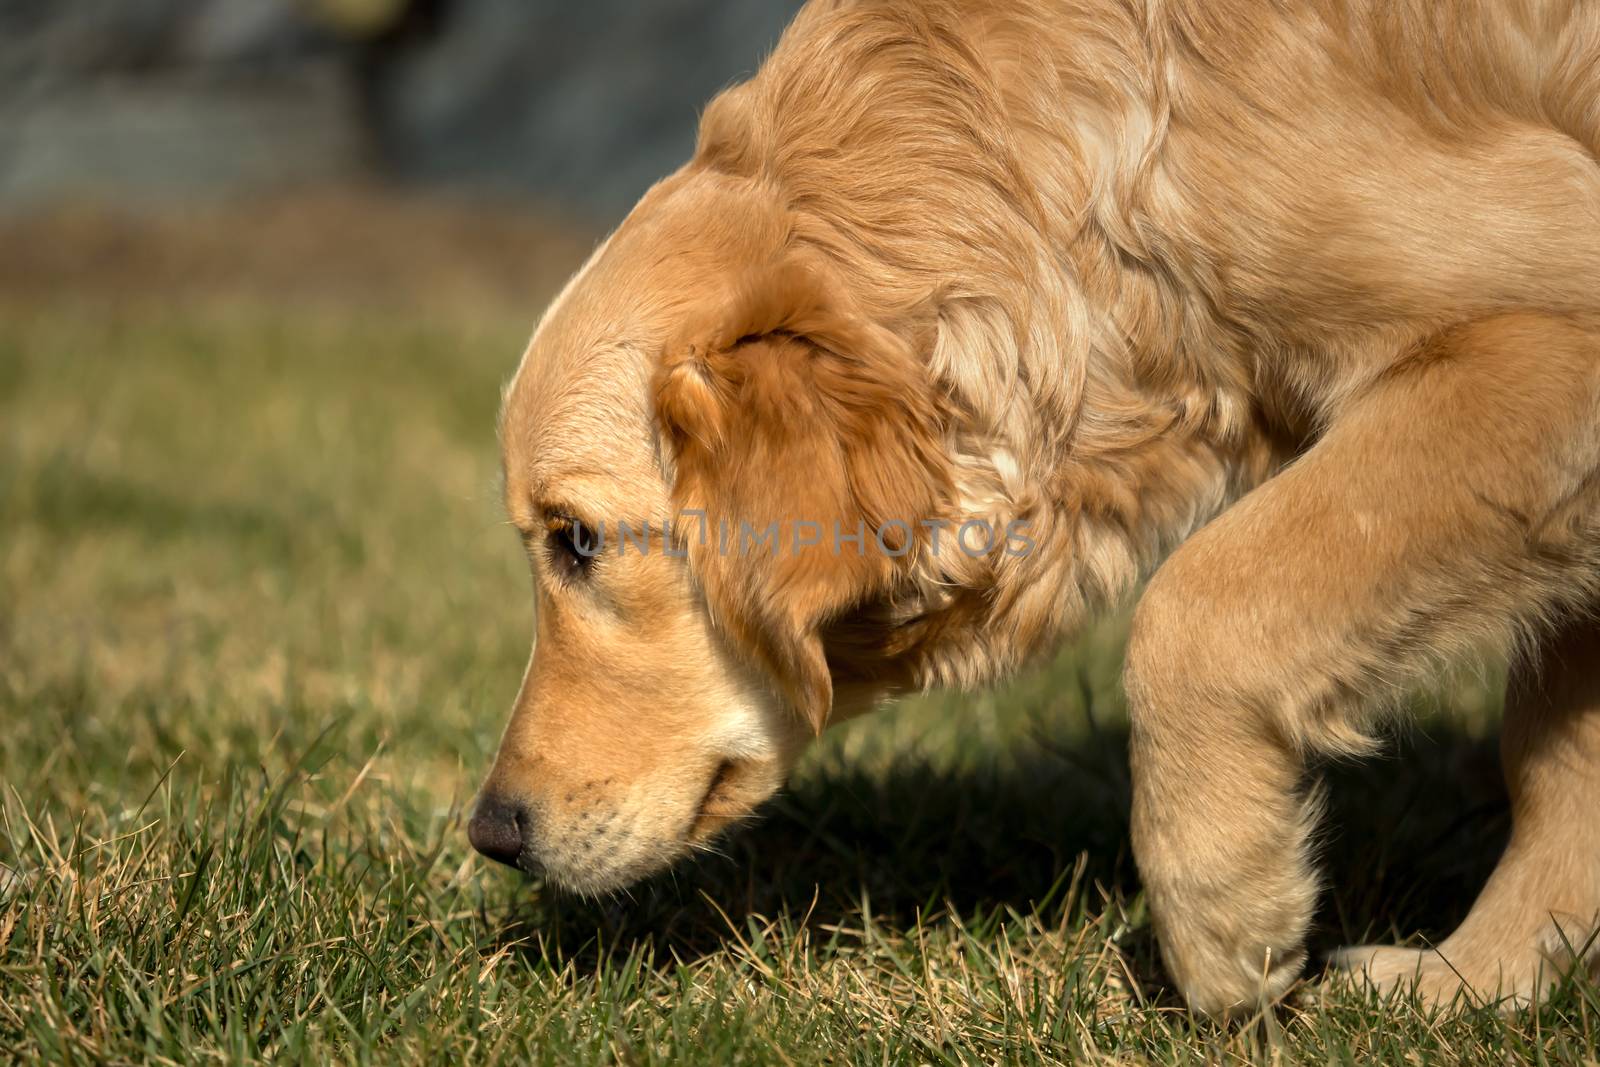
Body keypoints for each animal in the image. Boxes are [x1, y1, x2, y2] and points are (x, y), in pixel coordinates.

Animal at [467, 0, 1600, 1017]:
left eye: (577, 539)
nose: (490, 833)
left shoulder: (1543, 347)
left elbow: (1196, 603)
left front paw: (1225, 913)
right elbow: (1559, 756)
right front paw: (1483, 980)